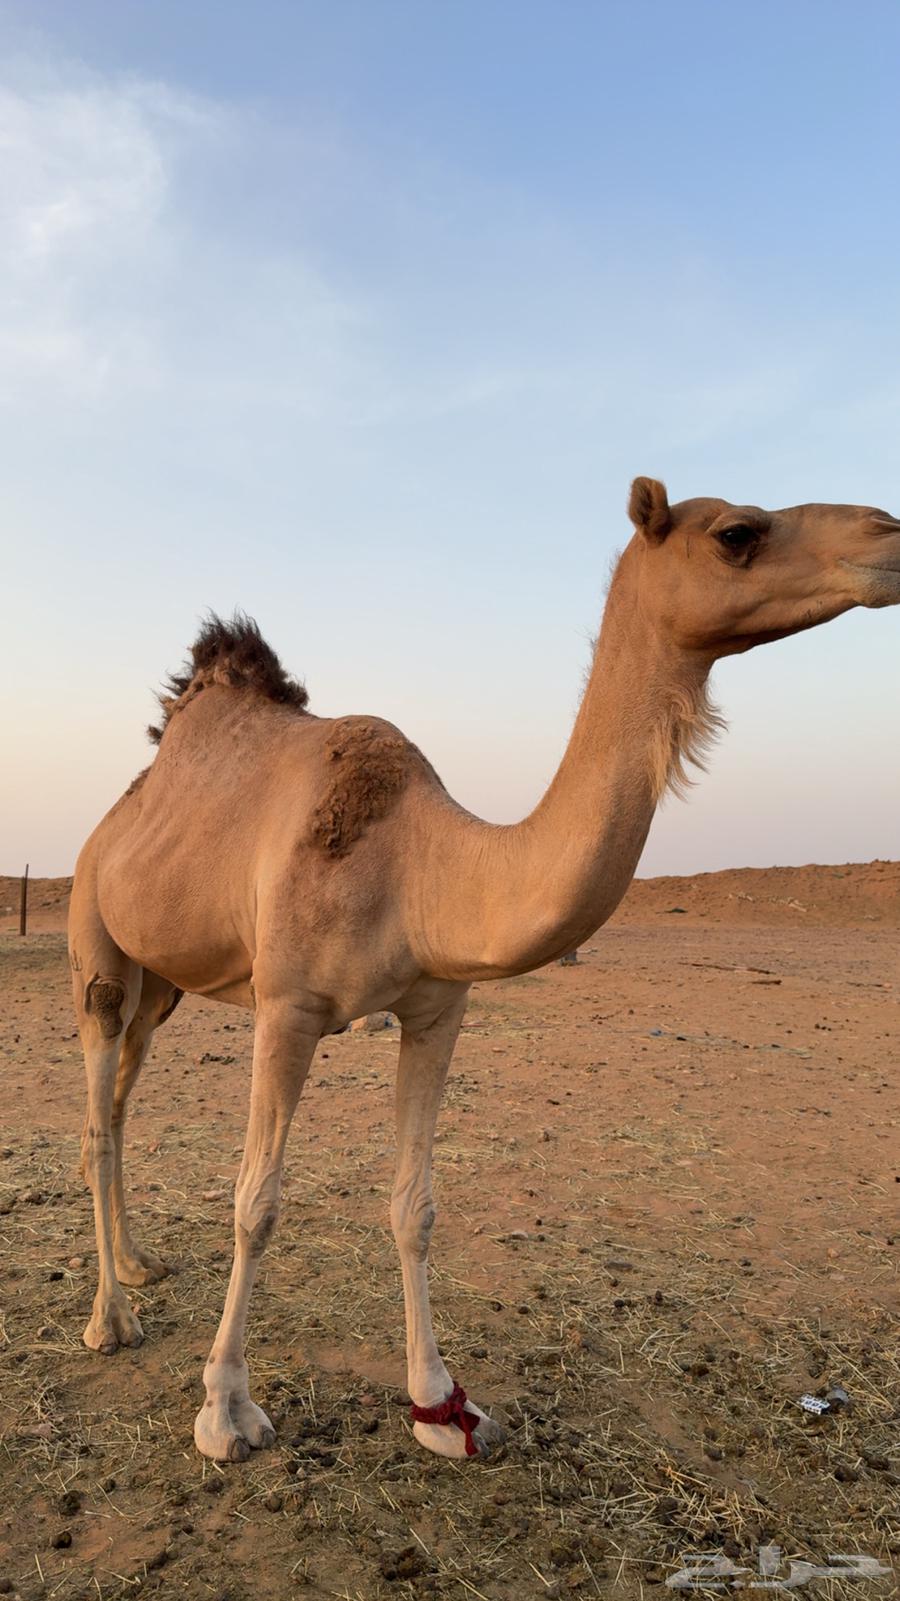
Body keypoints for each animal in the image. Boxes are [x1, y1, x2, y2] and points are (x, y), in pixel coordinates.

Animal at [68, 477, 900, 1464]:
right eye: (739, 532)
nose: (890, 535)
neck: (420, 863)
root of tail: (109, 826)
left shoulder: (438, 1008)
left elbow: (415, 1204)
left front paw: (439, 1403)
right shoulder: (288, 1005)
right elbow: (256, 1202)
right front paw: (227, 1410)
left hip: (162, 985)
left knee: (122, 1100)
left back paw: (137, 1265)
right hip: (96, 939)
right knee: (98, 1114)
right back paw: (109, 1320)